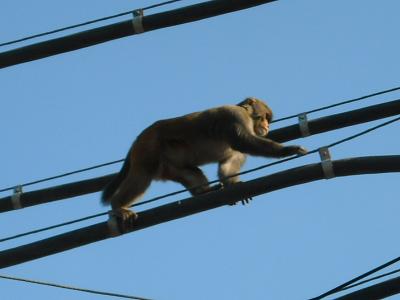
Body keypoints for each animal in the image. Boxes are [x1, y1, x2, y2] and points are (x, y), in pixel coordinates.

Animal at [101, 97, 308, 226]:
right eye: (264, 117)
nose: (266, 126)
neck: (248, 116)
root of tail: (138, 139)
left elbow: (229, 161)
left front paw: (233, 185)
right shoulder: (234, 117)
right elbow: (244, 143)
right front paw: (288, 150)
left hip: (169, 165)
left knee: (191, 172)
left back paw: (203, 192)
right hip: (149, 147)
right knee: (143, 175)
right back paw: (118, 206)